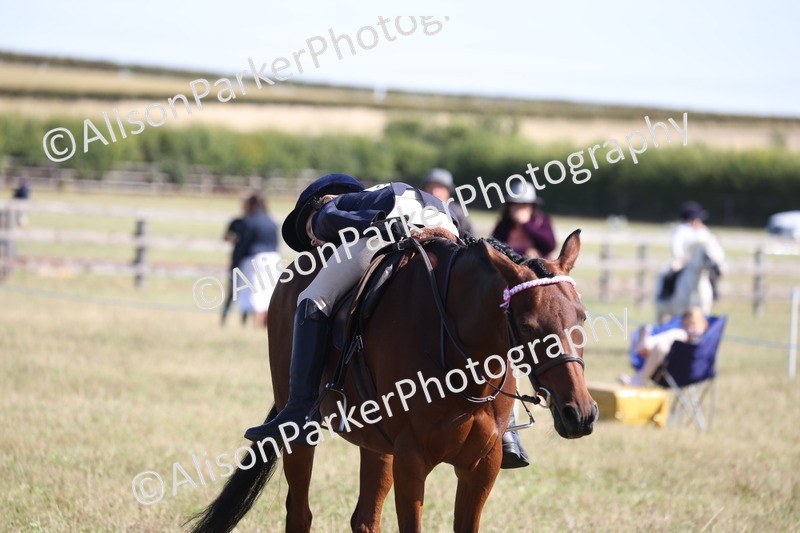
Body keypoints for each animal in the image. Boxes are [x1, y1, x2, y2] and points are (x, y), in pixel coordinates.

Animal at [187, 229, 597, 533]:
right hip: (304, 435)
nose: (580, 414)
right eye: (527, 327)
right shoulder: (412, 460)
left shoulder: (482, 465)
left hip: (378, 445)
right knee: (300, 512)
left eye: (582, 317)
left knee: (365, 518)